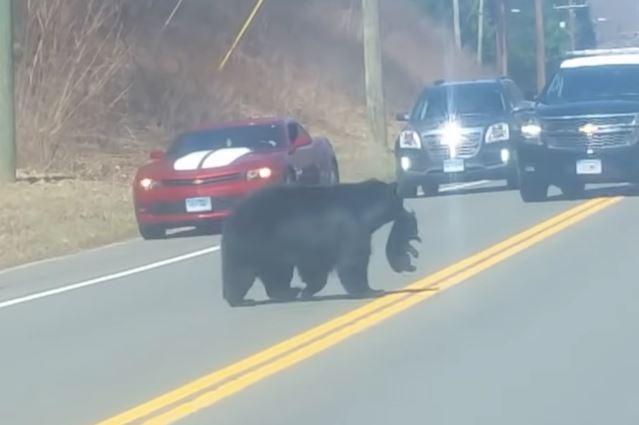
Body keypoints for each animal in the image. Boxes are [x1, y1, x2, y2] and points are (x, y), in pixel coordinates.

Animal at [220, 178, 420, 304]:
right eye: (401, 202)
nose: (409, 213)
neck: (364, 209)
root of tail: (232, 216)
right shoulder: (350, 229)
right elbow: (353, 262)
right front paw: (369, 290)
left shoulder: (317, 244)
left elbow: (316, 268)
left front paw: (307, 291)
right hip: (254, 242)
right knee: (242, 272)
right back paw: (241, 299)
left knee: (274, 273)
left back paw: (287, 292)